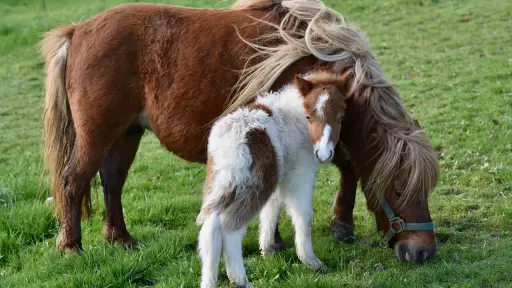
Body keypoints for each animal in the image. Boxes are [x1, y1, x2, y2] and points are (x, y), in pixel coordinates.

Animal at [41, 0, 440, 264]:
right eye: (399, 188)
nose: (423, 251)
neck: (311, 58)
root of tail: (78, 31)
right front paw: (277, 243)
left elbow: (349, 166)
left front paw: (342, 225)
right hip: (97, 134)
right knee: (74, 181)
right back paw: (71, 247)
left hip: (127, 133)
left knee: (112, 183)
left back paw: (120, 238)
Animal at [196, 74, 348, 288]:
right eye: (309, 116)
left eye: (341, 117)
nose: (324, 154)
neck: (294, 117)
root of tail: (235, 139)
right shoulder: (301, 173)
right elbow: (303, 214)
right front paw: (311, 261)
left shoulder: (278, 177)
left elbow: (271, 210)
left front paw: (268, 250)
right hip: (253, 186)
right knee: (230, 227)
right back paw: (241, 280)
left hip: (223, 182)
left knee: (211, 228)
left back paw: (210, 281)